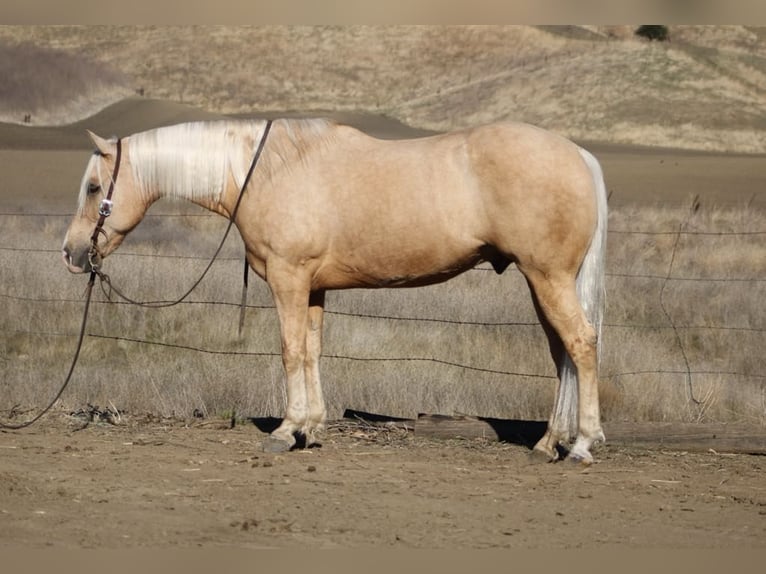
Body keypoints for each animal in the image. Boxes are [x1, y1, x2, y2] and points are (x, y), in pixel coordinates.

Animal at [62, 118, 607, 463]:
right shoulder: (314, 287)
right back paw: (549, 444)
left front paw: (286, 431)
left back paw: (581, 445)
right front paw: (313, 428)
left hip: (548, 277)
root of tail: (578, 154)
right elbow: (312, 351)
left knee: (580, 345)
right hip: (542, 281)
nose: (71, 252)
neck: (267, 171)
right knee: (561, 352)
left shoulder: (288, 278)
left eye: (93, 188)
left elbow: (289, 350)